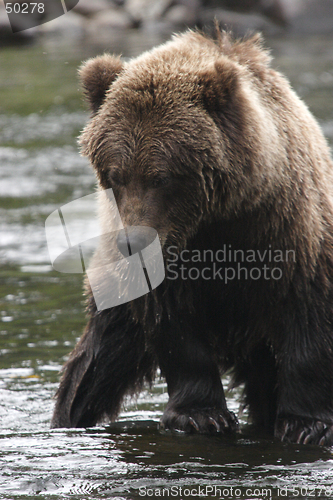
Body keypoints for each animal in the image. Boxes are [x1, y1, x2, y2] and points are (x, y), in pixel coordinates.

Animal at [49, 31, 332, 446]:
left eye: (160, 177)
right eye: (116, 175)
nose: (132, 243)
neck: (214, 221)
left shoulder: (286, 229)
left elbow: (307, 317)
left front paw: (307, 424)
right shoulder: (168, 265)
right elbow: (175, 328)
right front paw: (200, 415)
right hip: (115, 296)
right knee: (97, 362)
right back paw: (70, 415)